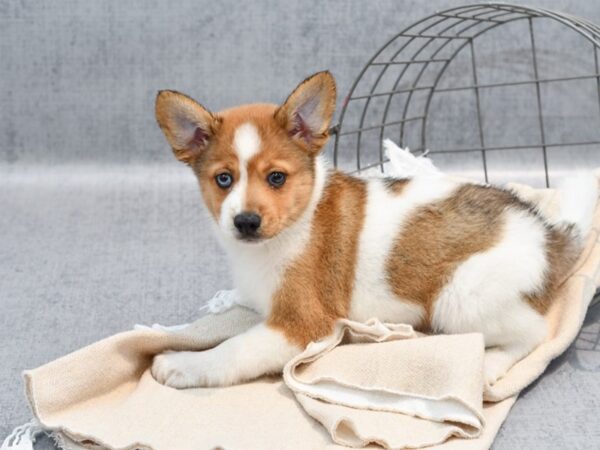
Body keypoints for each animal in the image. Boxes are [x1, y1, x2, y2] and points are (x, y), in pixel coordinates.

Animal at [154, 70, 596, 386]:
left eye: (276, 178)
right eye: (223, 179)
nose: (245, 222)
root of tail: (547, 233)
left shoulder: (303, 325)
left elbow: (235, 349)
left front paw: (183, 364)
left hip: (459, 299)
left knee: (536, 335)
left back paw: (488, 365)